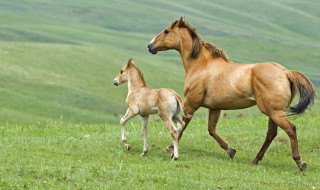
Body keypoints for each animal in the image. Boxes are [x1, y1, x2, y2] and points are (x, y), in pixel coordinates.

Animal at [147, 17, 316, 171]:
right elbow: (211, 130)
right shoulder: (215, 108)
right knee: (271, 133)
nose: (150, 46)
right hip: (273, 112)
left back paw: (300, 162)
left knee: (290, 129)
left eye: (166, 31)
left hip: (274, 112)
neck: (201, 65)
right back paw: (255, 160)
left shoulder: (191, 104)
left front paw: (170, 149)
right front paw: (230, 150)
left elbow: (182, 127)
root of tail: (286, 72)